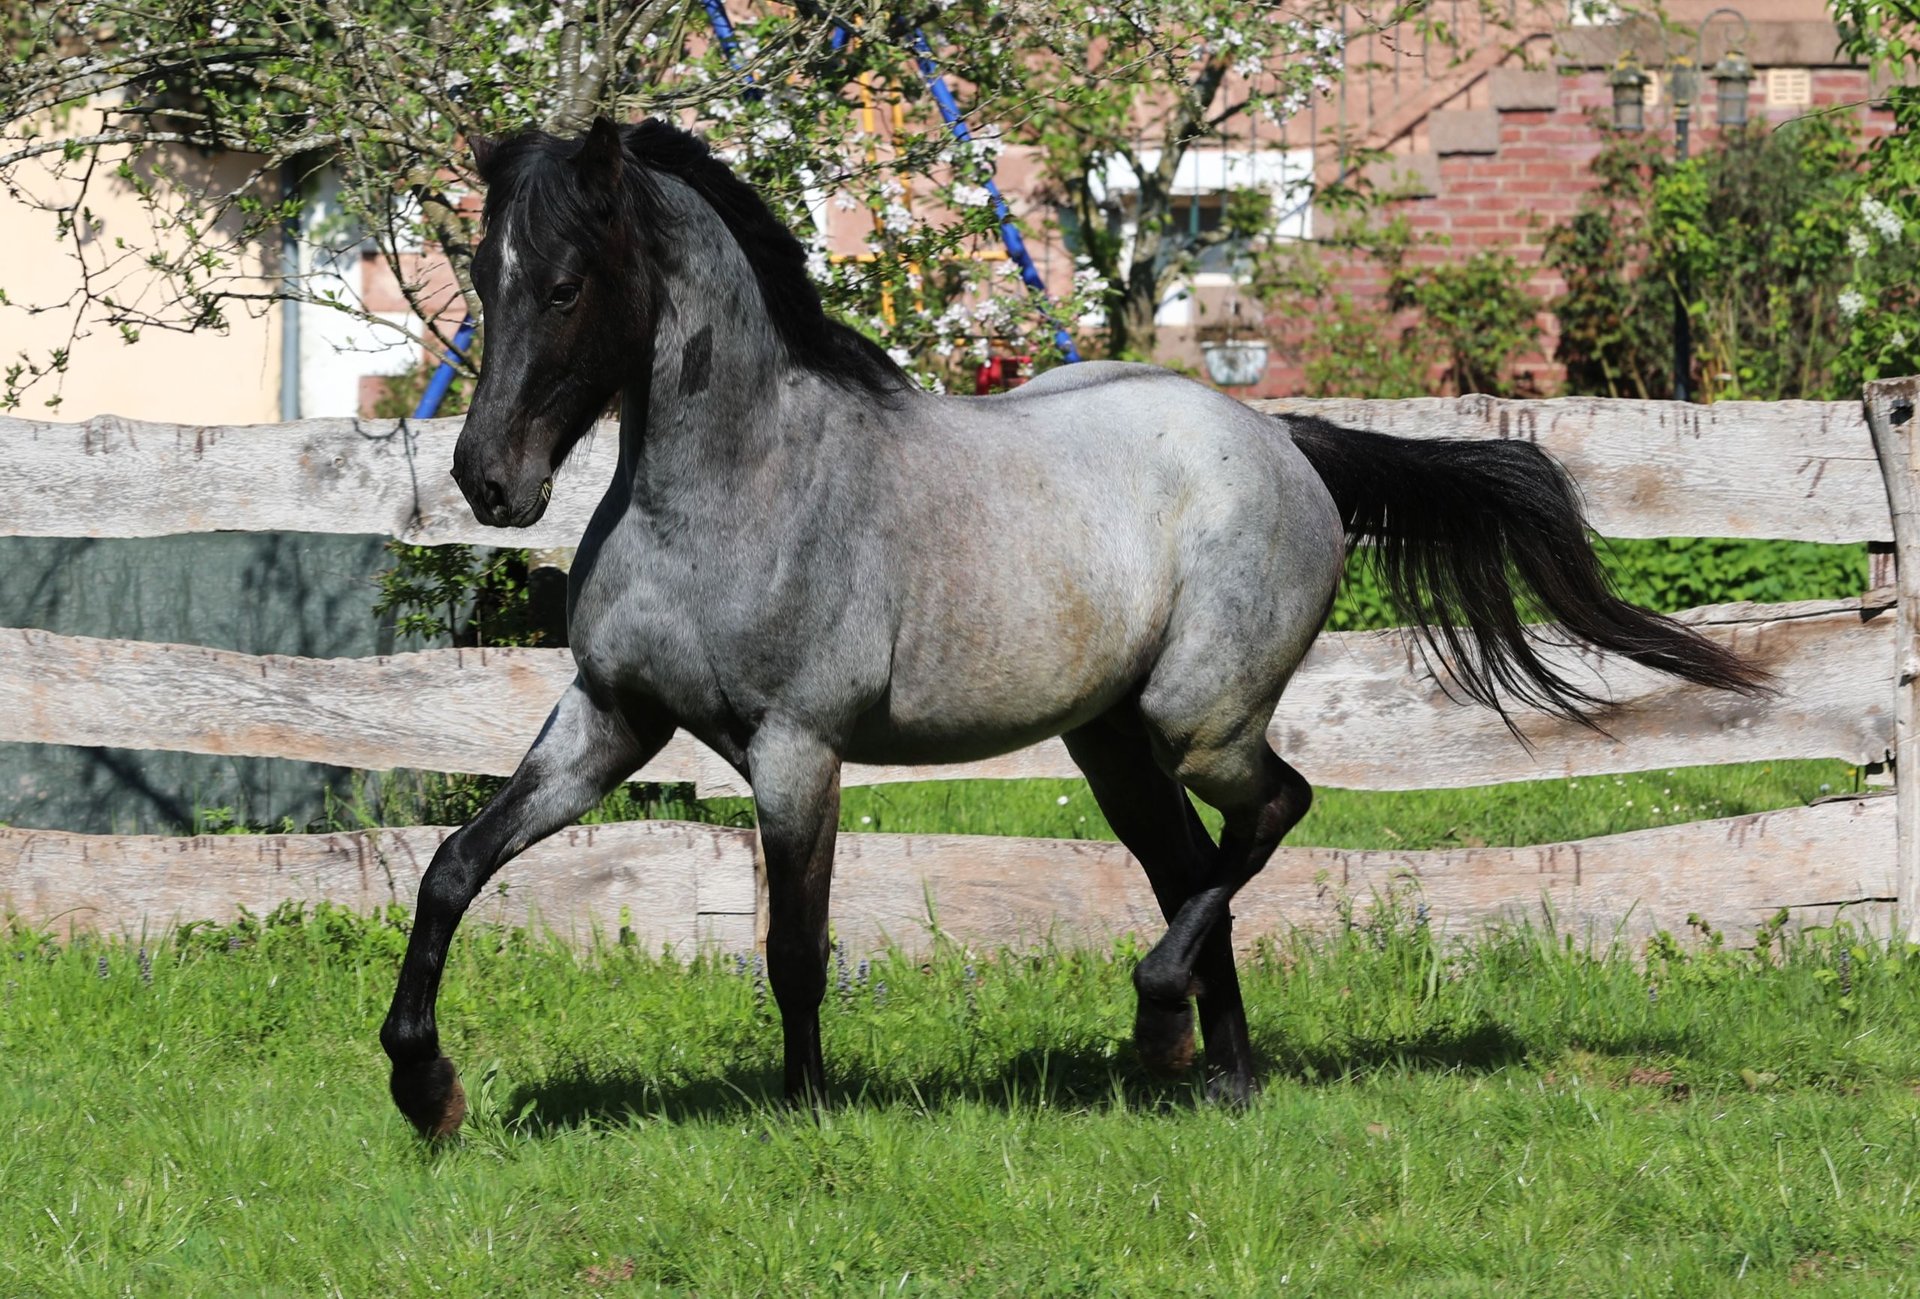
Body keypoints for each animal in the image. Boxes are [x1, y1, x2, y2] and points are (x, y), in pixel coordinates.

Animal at [379, 116, 1767, 1136]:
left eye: (566, 284)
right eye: (483, 278)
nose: (488, 484)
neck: (737, 490)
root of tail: (1281, 440)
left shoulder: (795, 752)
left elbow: (796, 949)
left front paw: (806, 1111)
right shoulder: (610, 720)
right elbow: (452, 864)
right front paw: (424, 1088)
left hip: (1196, 718)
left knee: (1270, 814)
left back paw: (1160, 1025)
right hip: (1114, 744)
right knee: (1193, 868)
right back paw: (1220, 1075)